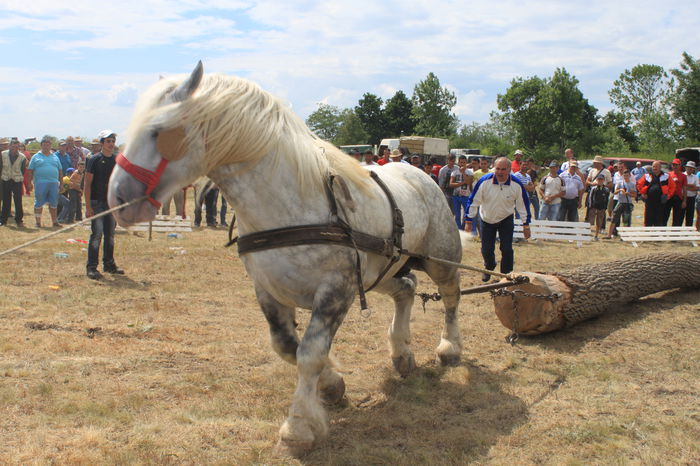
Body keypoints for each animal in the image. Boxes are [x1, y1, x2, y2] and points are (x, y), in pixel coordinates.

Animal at [108, 62, 465, 456]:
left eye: (158, 132)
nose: (118, 197)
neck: (289, 206)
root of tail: (419, 173)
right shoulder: (268, 291)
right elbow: (286, 347)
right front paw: (331, 386)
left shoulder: (336, 292)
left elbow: (310, 353)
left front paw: (299, 428)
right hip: (381, 272)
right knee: (407, 288)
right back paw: (402, 354)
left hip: (440, 260)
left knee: (450, 297)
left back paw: (449, 349)